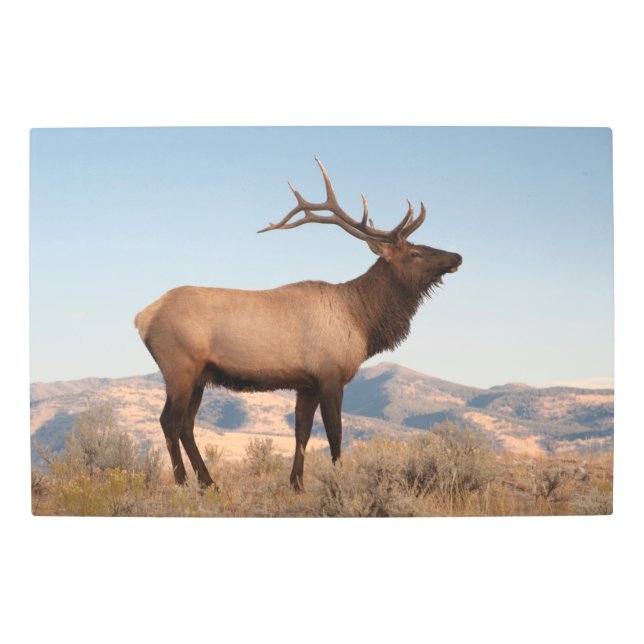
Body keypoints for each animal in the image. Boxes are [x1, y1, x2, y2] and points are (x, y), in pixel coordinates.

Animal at [134, 158, 462, 490]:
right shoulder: (330, 375)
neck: (362, 322)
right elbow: (334, 433)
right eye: (415, 252)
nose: (457, 256)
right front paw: (338, 482)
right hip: (180, 368)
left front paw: (297, 483)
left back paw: (208, 482)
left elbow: (301, 432)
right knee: (169, 422)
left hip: (199, 376)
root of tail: (143, 318)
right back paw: (182, 482)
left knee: (186, 425)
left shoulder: (307, 384)